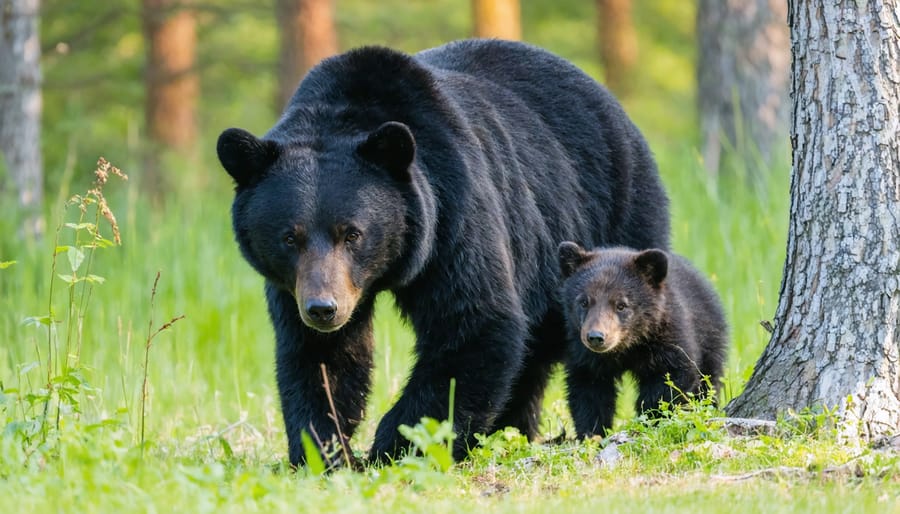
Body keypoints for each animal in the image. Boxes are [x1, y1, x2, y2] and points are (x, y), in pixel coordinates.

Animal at [215, 39, 670, 467]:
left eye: (352, 234)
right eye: (290, 237)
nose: (323, 309)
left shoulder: (453, 213)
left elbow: (471, 325)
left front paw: (396, 446)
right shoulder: (293, 284)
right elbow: (320, 358)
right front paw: (323, 451)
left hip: (609, 219)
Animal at [557, 243, 727, 437]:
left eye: (621, 305)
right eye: (584, 302)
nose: (596, 337)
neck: (629, 346)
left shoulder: (668, 338)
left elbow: (670, 380)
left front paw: (652, 419)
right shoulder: (585, 355)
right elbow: (588, 390)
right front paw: (592, 433)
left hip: (709, 336)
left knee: (709, 381)